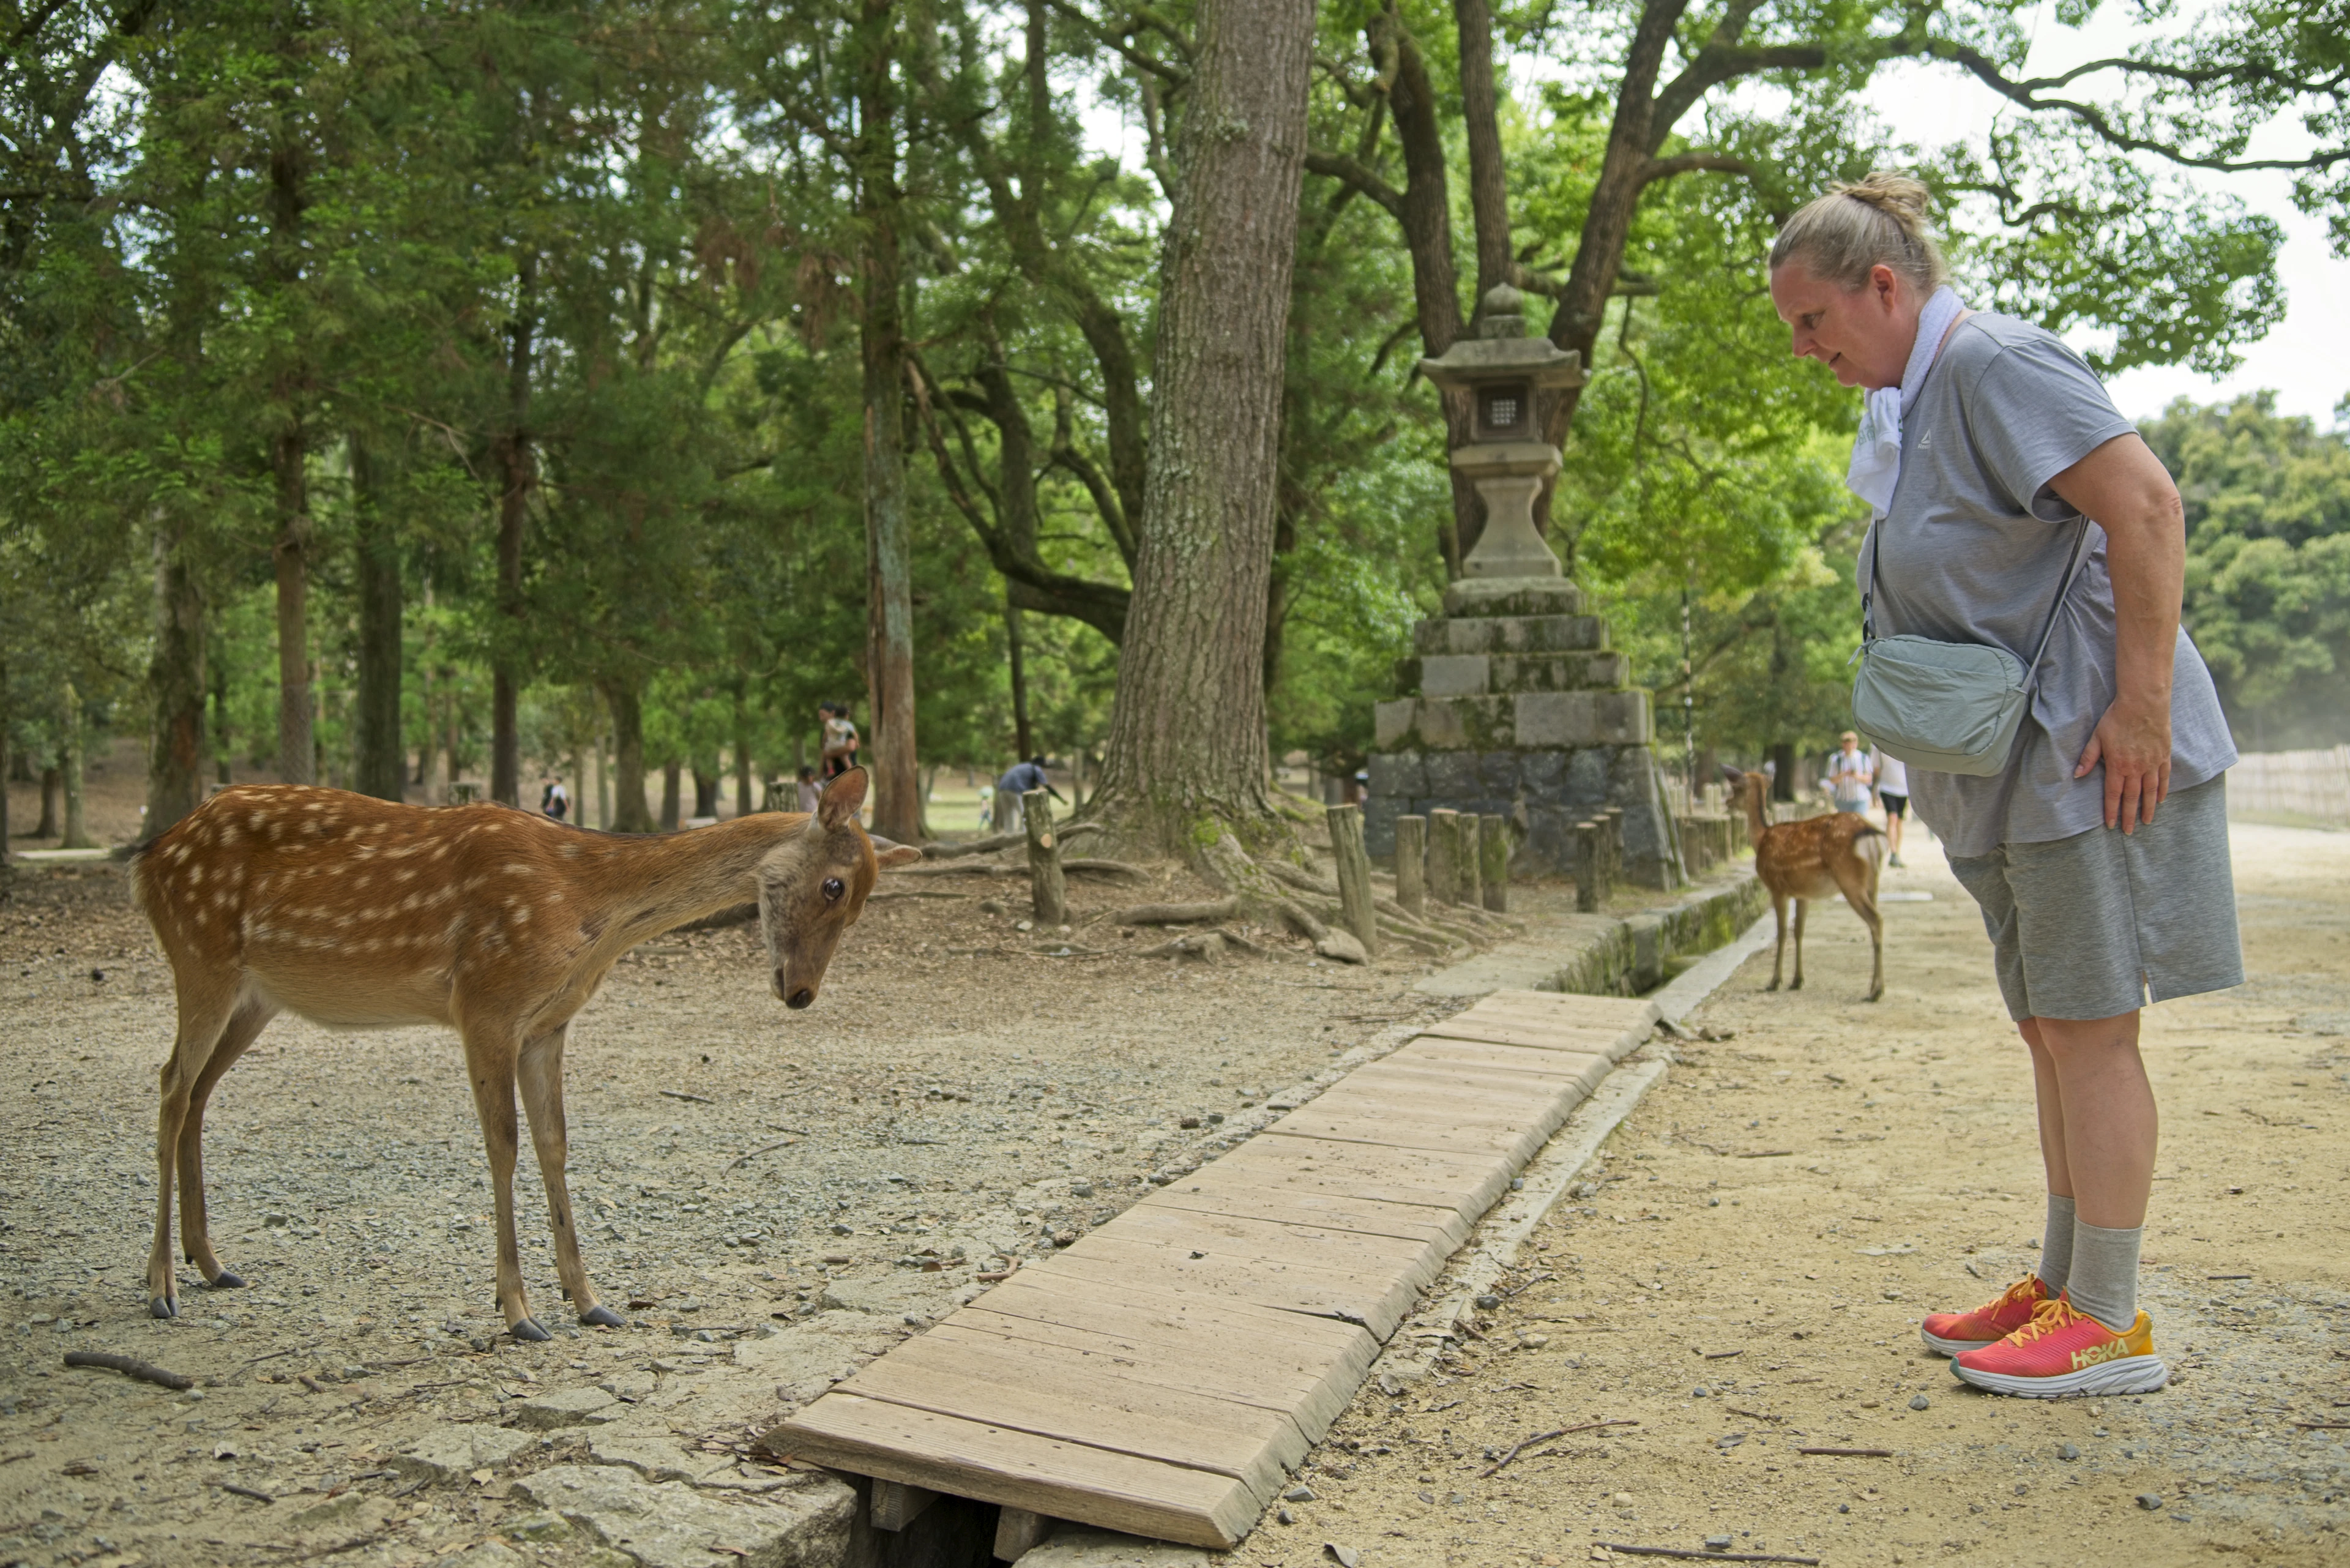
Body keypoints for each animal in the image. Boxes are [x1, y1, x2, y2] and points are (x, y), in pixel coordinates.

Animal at [128, 765, 920, 1340]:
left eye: (860, 902)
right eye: (835, 885)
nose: (801, 993)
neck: (587, 909)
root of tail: (151, 858)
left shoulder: (547, 1024)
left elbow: (554, 1144)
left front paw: (590, 1300)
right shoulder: (485, 1004)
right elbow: (502, 1146)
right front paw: (517, 1311)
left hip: (255, 995)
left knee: (198, 1092)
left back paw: (212, 1264)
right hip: (199, 956)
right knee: (168, 1085)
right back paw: (160, 1286)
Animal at [1724, 767, 1885, 1003]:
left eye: (1736, 787)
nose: (1727, 802)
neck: (1761, 839)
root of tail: (1871, 836)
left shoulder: (1777, 887)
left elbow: (1782, 932)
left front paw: (1774, 981)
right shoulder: (1803, 893)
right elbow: (1799, 931)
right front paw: (1797, 981)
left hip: (1849, 879)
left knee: (1876, 920)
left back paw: (1876, 991)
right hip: (1873, 880)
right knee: (1877, 920)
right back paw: (1876, 987)